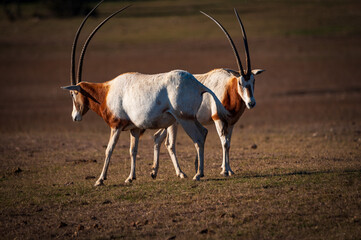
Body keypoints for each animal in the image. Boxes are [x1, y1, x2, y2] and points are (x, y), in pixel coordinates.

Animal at [60, 1, 229, 186]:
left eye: (73, 95)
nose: (74, 117)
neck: (107, 91)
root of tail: (197, 84)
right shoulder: (134, 128)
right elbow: (133, 150)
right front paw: (130, 177)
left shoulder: (116, 125)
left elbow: (109, 150)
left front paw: (100, 180)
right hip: (189, 119)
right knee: (203, 133)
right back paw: (200, 171)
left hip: (184, 119)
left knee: (198, 139)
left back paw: (197, 174)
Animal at [150, 9, 264, 178]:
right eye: (240, 82)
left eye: (253, 81)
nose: (251, 103)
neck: (228, 89)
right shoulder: (218, 119)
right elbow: (224, 143)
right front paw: (226, 170)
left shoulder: (231, 123)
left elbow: (228, 143)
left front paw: (227, 169)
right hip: (175, 122)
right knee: (170, 144)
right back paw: (180, 173)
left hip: (170, 121)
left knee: (158, 137)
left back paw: (155, 172)